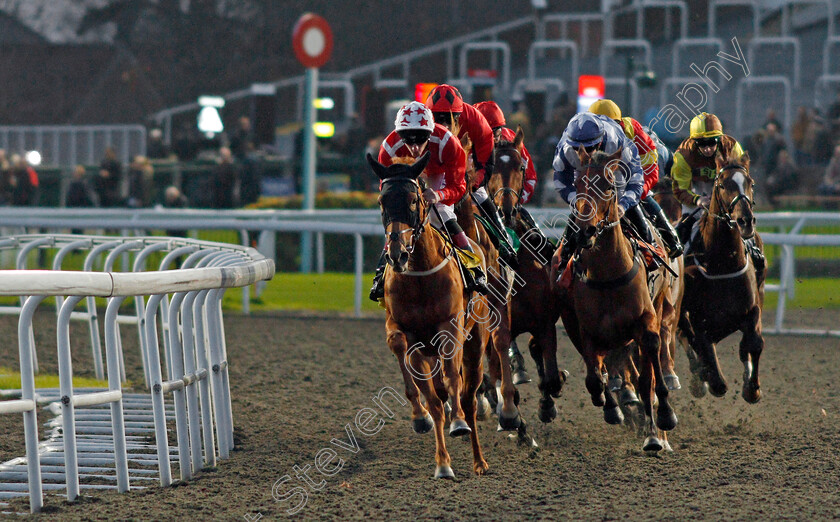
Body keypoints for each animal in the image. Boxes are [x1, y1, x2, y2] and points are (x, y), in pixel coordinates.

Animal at [368, 152, 492, 478]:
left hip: (476, 340)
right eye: (382, 201)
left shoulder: (451, 327)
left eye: (414, 200)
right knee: (438, 396)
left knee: (468, 396)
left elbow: (452, 381)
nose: (397, 254)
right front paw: (421, 420)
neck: (420, 276)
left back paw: (478, 459)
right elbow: (428, 395)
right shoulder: (403, 330)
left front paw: (457, 422)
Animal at [486, 127, 572, 422]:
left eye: (521, 166)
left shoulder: (544, 322)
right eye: (490, 168)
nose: (506, 210)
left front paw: (549, 399)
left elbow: (551, 374)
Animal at [556, 147, 680, 450]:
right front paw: (611, 407)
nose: (586, 231)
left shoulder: (646, 323)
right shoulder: (585, 331)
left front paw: (663, 420)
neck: (608, 273)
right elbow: (593, 377)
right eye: (577, 185)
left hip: (659, 306)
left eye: (609, 186)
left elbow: (650, 379)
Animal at [680, 150, 764, 402]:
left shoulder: (753, 307)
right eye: (723, 185)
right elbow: (704, 352)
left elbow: (754, 343)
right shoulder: (697, 321)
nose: (745, 221)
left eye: (750, 183)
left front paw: (752, 388)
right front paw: (710, 379)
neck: (723, 263)